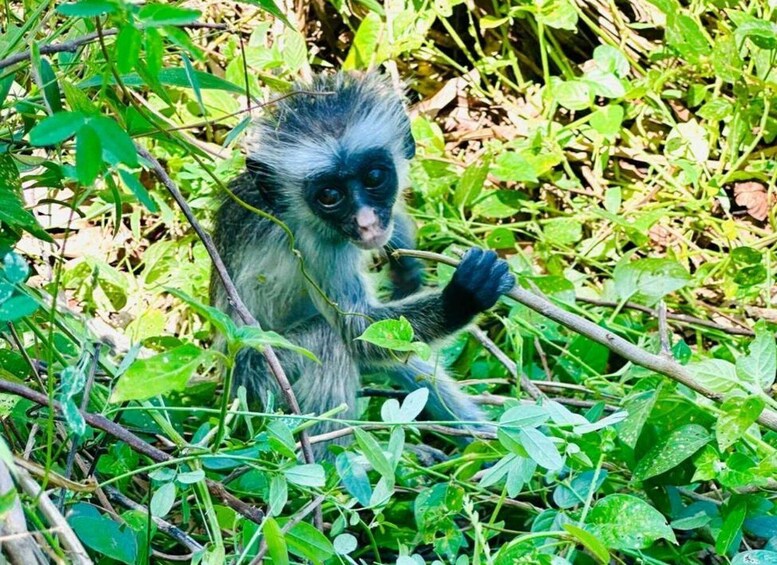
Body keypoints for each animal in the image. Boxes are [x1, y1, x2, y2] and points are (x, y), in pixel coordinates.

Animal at [210, 72, 515, 458]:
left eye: (374, 177)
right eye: (329, 195)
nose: (368, 223)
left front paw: (406, 269)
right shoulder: (318, 245)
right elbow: (356, 333)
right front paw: (463, 296)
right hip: (260, 379)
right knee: (329, 339)